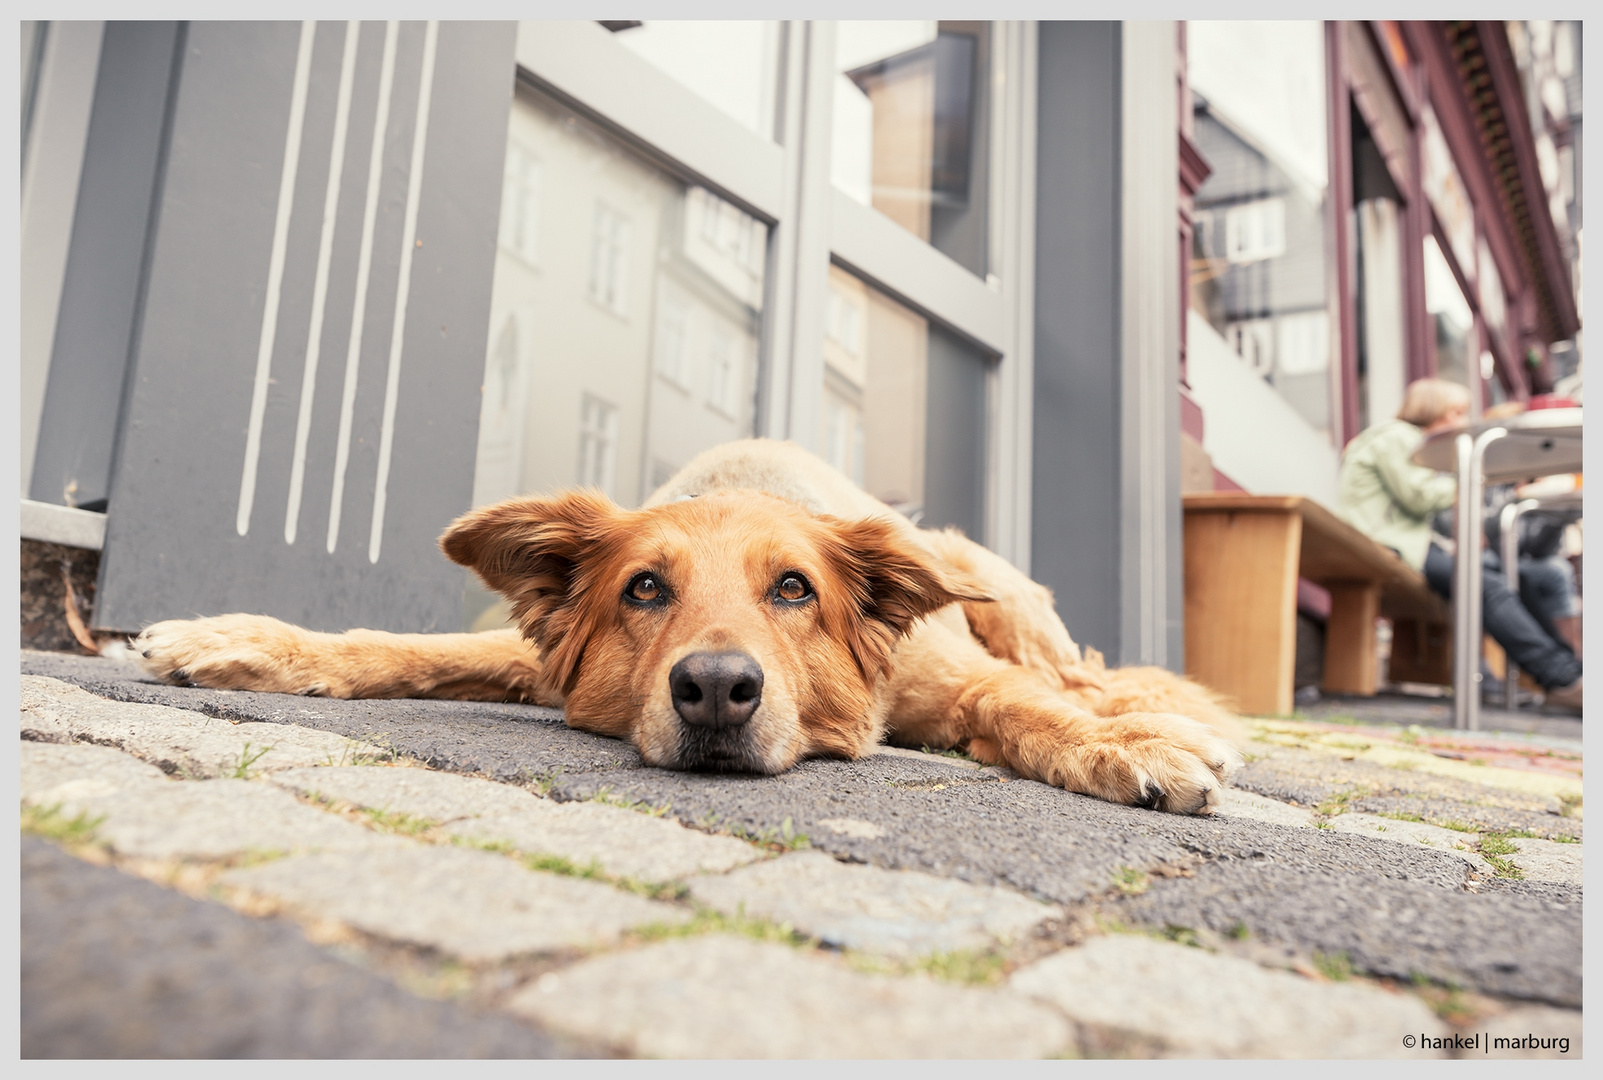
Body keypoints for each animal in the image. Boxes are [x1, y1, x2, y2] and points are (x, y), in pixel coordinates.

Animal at [134, 435, 1237, 807]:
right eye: (642, 591)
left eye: (793, 589)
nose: (714, 691)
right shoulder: (543, 657)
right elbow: (393, 647)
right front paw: (238, 641)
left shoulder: (958, 678)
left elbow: (1026, 709)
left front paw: (1120, 749)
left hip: (987, 582)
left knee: (1076, 679)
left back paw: (1160, 717)